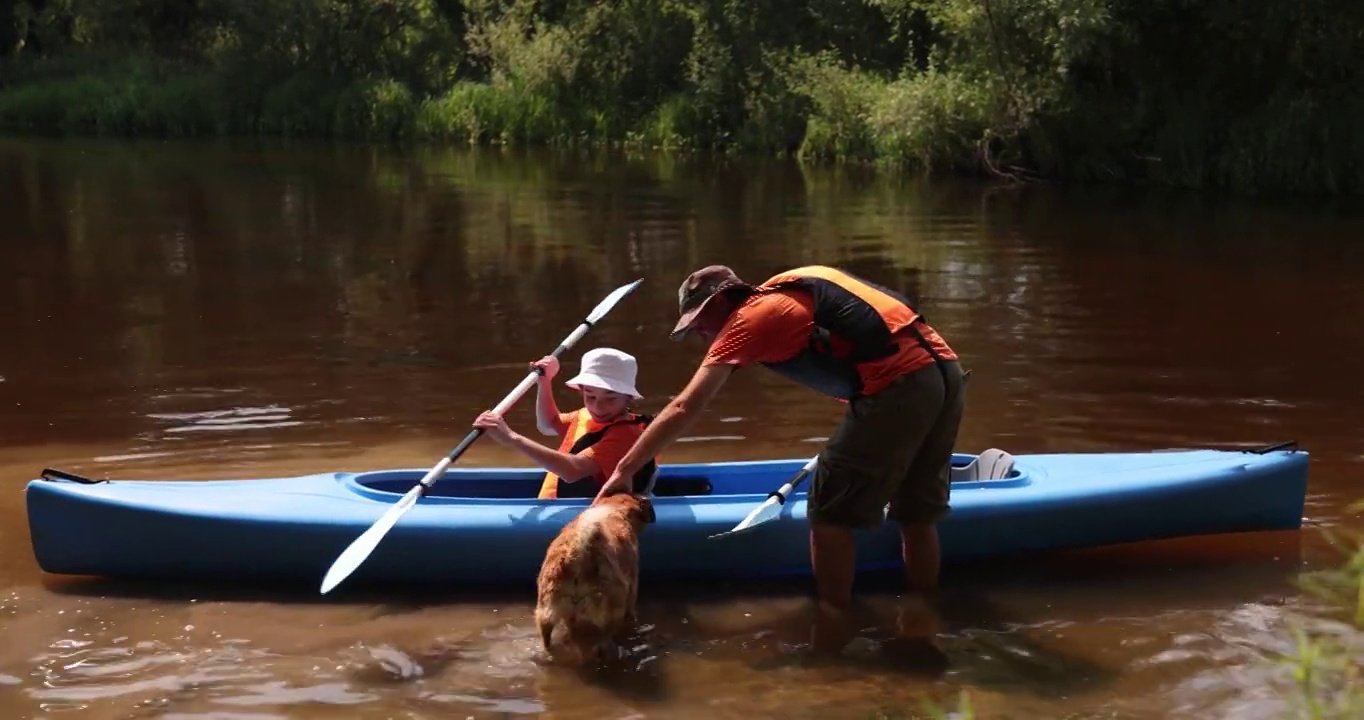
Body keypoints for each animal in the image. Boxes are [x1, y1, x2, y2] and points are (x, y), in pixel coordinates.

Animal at [531, 490, 654, 665]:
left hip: (546, 613)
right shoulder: (632, 586)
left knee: (549, 641)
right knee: (604, 642)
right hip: (609, 612)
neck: (615, 507)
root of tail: (577, 552)